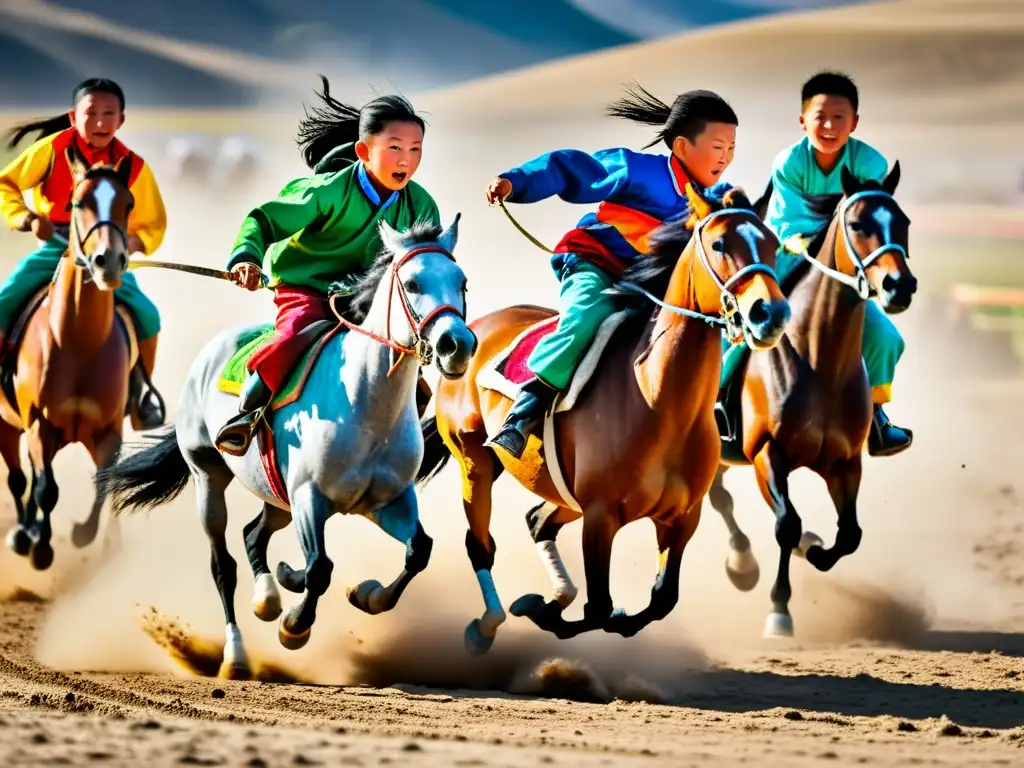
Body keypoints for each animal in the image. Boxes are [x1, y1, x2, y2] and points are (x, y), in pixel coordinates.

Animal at [0, 144, 138, 569]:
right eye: (80, 202)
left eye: (128, 203)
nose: (108, 260)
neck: (79, 344)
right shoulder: (39, 425)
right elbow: (45, 489)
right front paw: (41, 547)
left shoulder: (109, 431)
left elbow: (104, 481)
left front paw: (84, 534)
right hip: (9, 426)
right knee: (19, 479)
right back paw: (23, 535)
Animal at [99, 217, 475, 679]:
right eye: (413, 283)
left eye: (462, 283)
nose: (456, 345)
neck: (368, 405)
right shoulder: (309, 497)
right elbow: (320, 568)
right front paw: (294, 626)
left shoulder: (388, 500)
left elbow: (418, 551)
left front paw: (366, 594)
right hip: (209, 476)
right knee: (223, 564)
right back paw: (237, 655)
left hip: (275, 495)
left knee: (253, 534)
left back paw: (269, 595)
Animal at [415, 183, 790, 651]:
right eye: (720, 243)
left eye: (773, 244)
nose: (770, 313)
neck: (659, 402)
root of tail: (470, 331)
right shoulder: (599, 517)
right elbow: (599, 608)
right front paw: (544, 610)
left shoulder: (682, 518)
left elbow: (659, 600)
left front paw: (548, 606)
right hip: (475, 462)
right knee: (481, 542)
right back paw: (486, 626)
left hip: (558, 489)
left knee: (538, 521)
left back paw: (551, 596)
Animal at [708, 162, 917, 638]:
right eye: (858, 224)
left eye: (903, 222)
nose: (899, 285)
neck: (820, 361)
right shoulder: (768, 455)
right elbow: (787, 524)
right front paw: (779, 610)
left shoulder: (845, 462)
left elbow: (849, 534)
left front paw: (815, 549)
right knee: (719, 499)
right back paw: (742, 563)